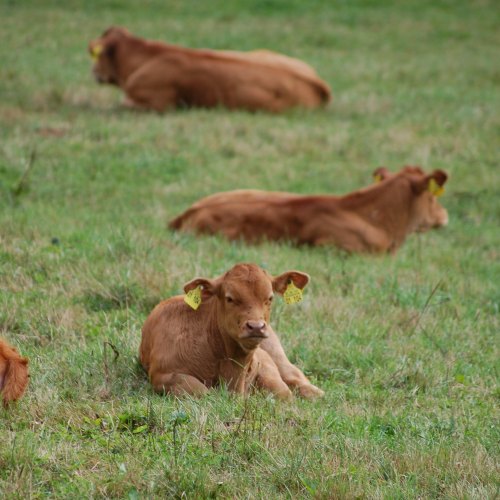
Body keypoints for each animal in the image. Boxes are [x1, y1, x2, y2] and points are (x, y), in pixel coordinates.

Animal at [140, 264, 324, 400]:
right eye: (230, 298)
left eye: (270, 298)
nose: (256, 327)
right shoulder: (161, 374)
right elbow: (201, 391)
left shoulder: (264, 361)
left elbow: (283, 392)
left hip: (275, 350)